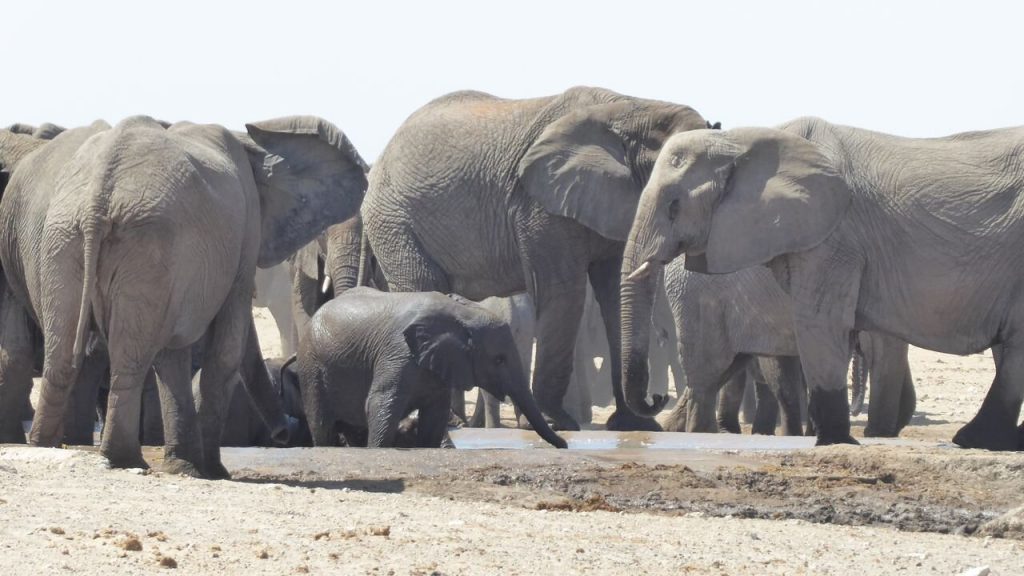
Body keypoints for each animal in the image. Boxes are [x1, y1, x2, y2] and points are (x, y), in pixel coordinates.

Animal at [0, 115, 368, 477]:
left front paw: (185, 466)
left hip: (62, 240)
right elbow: (225, 351)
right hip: (141, 243)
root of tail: (99, 194)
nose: (283, 434)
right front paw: (214, 471)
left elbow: (172, 356)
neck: (256, 145)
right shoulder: (244, 235)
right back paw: (124, 459)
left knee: (64, 353)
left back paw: (47, 446)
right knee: (128, 357)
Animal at [295, 287, 567, 449]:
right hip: (311, 364)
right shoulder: (397, 354)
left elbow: (435, 415)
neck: (462, 314)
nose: (564, 445)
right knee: (321, 421)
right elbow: (380, 404)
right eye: (499, 359)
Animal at [363, 86, 708, 432]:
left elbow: (614, 295)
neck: (637, 109)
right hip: (395, 222)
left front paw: (633, 427)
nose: (657, 399)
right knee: (424, 288)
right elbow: (564, 292)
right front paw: (556, 423)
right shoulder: (539, 206)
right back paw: (447, 421)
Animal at [621, 117, 1024, 450]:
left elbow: (822, 324)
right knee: (711, 374)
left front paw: (837, 442)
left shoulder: (835, 239)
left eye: (674, 205)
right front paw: (839, 438)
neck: (740, 141)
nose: (654, 398)